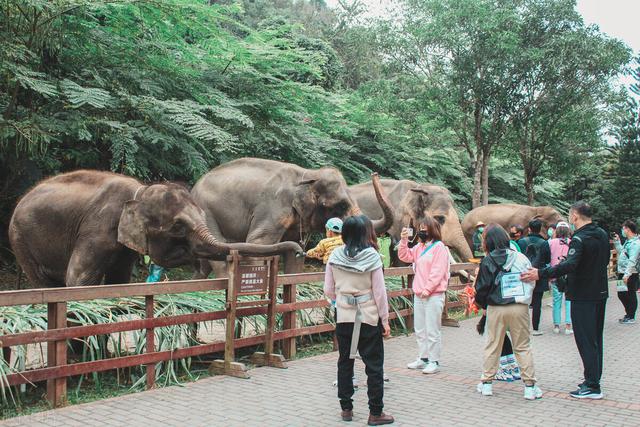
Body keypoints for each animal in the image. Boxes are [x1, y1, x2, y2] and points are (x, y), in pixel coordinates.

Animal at [7, 170, 302, 288]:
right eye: (178, 227)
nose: (299, 249)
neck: (141, 191)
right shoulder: (97, 229)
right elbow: (78, 280)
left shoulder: (123, 245)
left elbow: (118, 281)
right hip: (19, 238)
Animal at [190, 159, 396, 276]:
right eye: (341, 206)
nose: (375, 173)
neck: (308, 174)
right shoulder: (273, 208)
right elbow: (257, 243)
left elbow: (294, 254)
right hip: (206, 212)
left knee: (205, 263)